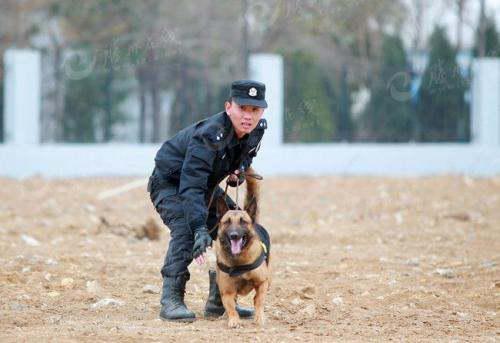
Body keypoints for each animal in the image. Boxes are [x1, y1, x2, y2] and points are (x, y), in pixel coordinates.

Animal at [214, 169, 272, 330]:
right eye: (227, 222)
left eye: (243, 222)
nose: (234, 235)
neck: (239, 261)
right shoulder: (227, 291)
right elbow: (231, 307)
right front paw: (234, 320)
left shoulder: (262, 283)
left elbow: (258, 300)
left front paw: (259, 317)